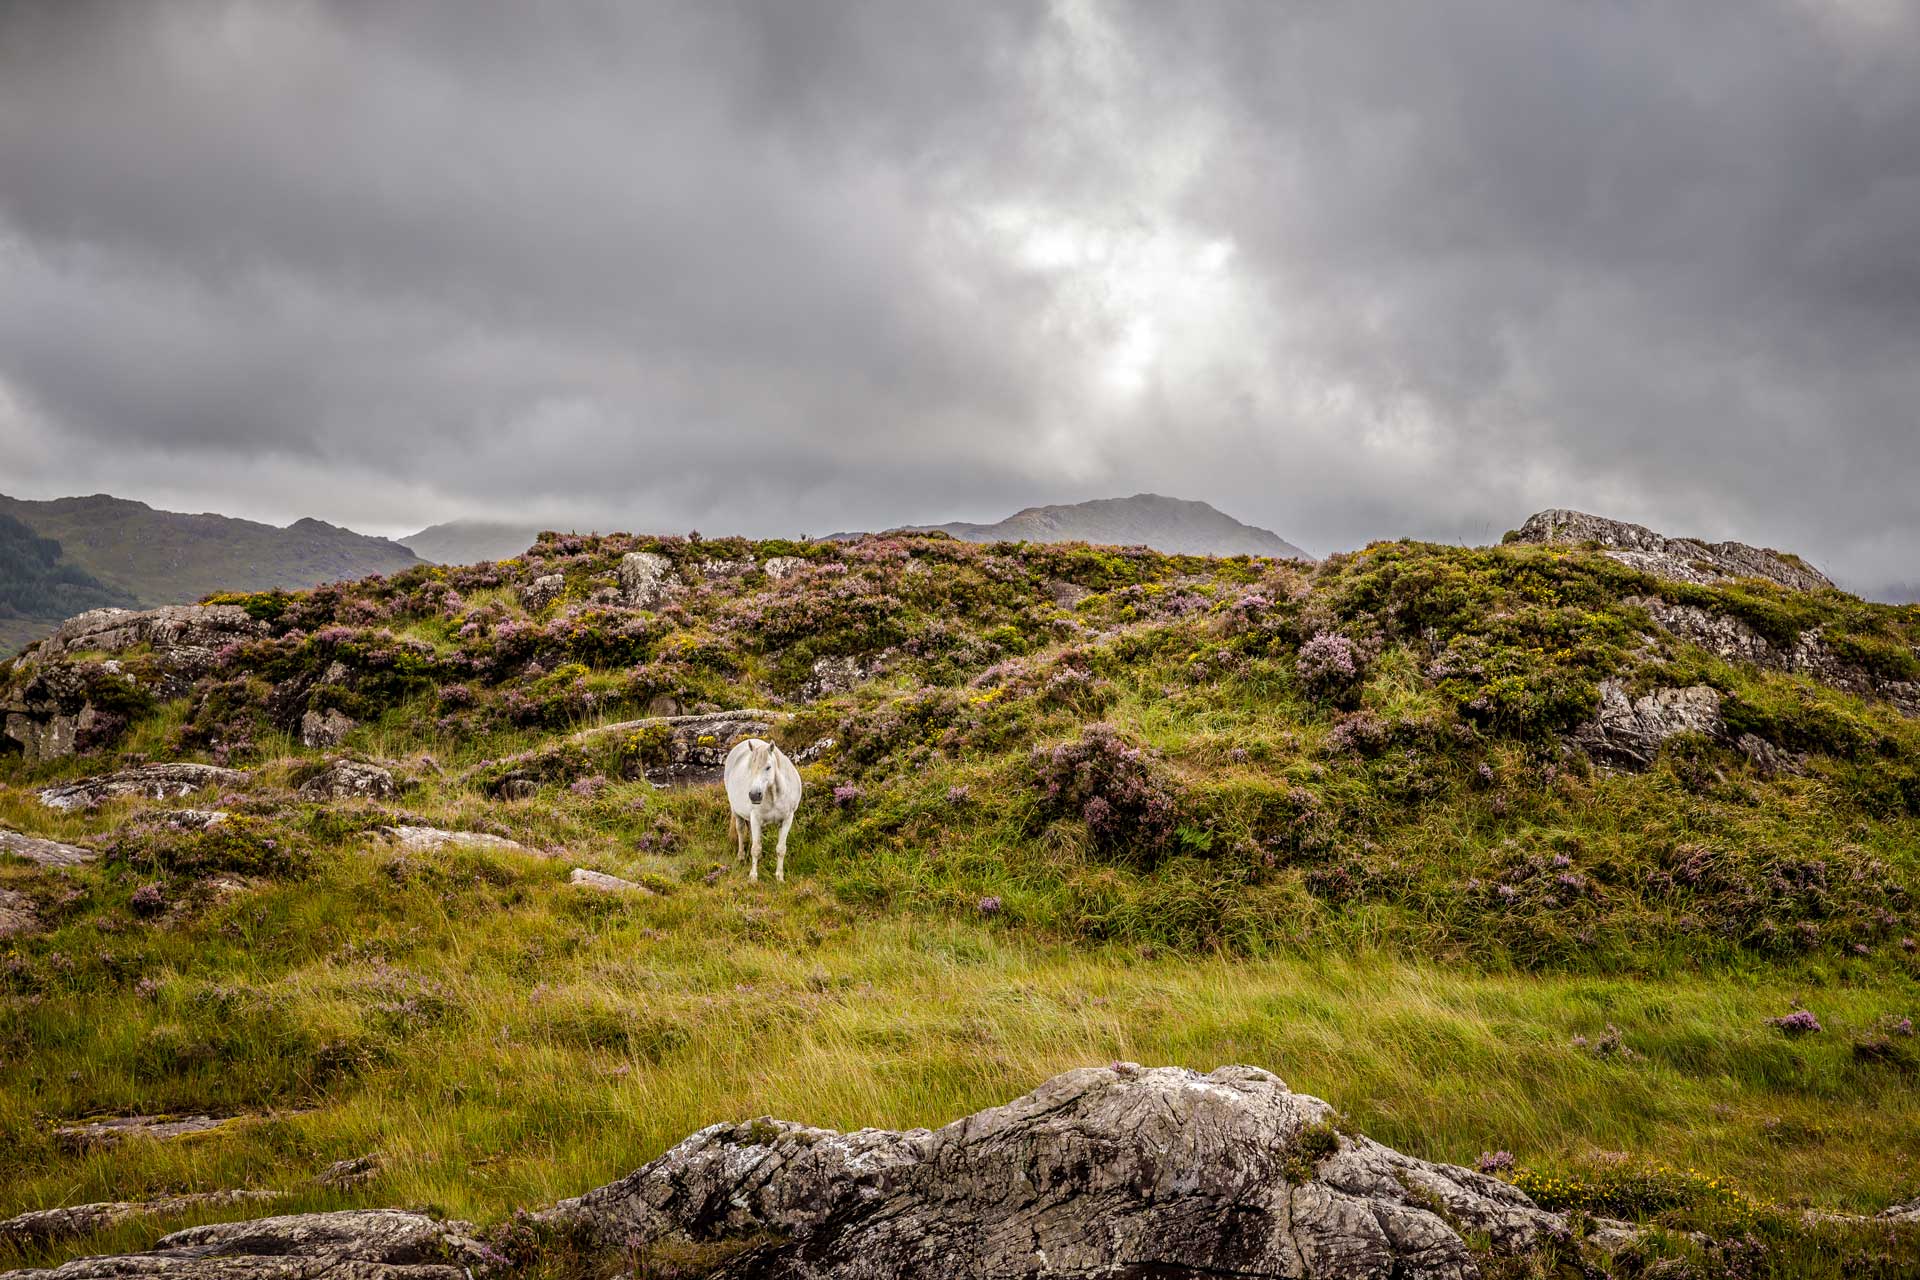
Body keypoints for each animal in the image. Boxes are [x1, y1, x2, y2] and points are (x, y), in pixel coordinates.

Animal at [723, 737, 803, 882]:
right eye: (751, 767)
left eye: (768, 767)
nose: (754, 795)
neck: (774, 794)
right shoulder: (755, 818)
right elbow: (755, 848)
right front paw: (753, 878)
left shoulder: (787, 819)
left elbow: (781, 849)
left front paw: (780, 877)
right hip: (736, 811)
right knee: (740, 830)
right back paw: (741, 856)